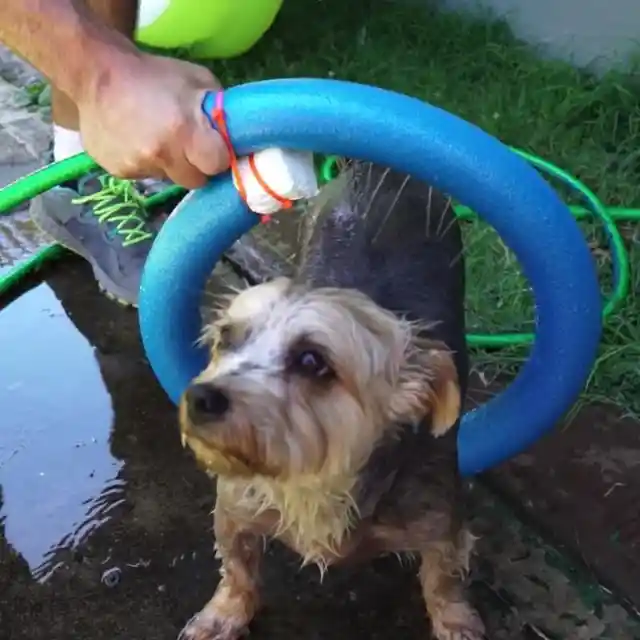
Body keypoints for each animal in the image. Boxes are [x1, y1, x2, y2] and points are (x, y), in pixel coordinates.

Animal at [178, 161, 482, 640]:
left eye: (311, 360)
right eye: (226, 337)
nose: (200, 397)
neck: (314, 479)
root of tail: (377, 168)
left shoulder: (441, 521)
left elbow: (444, 581)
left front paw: (455, 622)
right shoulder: (235, 507)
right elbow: (237, 569)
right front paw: (223, 614)